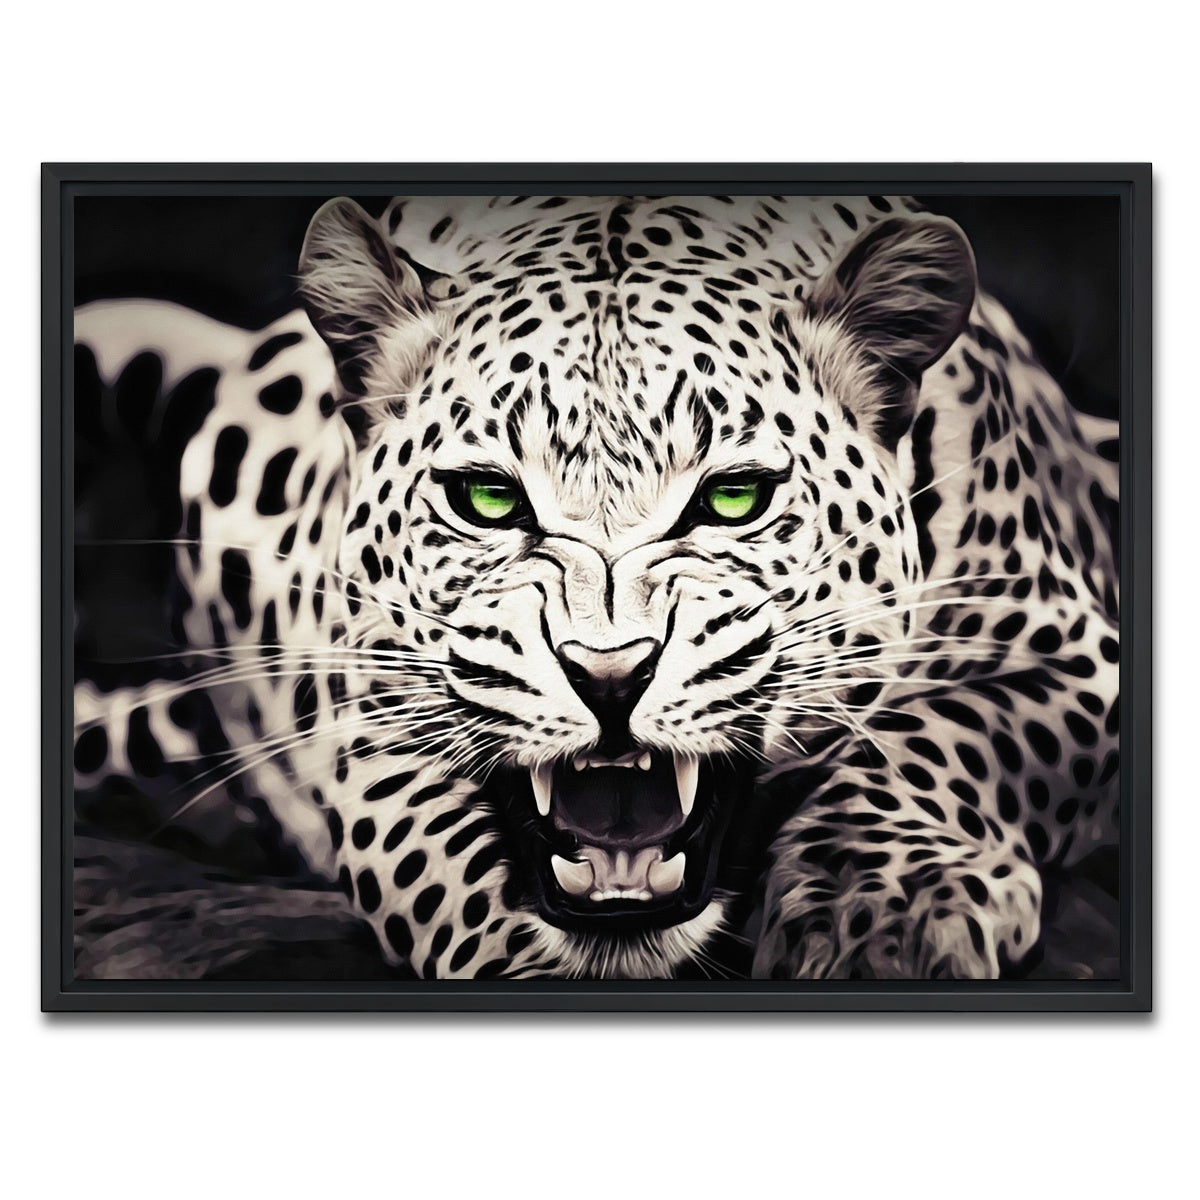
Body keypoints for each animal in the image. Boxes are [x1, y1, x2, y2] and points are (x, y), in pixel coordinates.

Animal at [72, 193, 1120, 981]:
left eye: (733, 497)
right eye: (488, 499)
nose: (609, 676)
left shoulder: (1073, 658)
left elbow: (942, 735)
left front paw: (883, 911)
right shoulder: (374, 728)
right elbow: (442, 865)